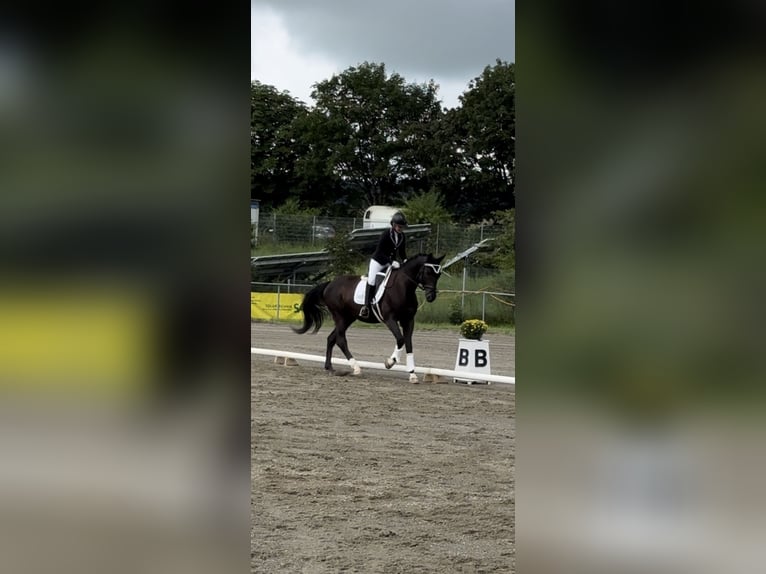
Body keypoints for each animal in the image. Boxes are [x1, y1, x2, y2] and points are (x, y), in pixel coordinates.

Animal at [293, 253, 445, 383]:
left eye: (438, 275)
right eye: (428, 272)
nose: (431, 297)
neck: (403, 288)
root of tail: (329, 284)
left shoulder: (408, 320)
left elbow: (408, 344)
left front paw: (412, 374)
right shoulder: (390, 319)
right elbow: (400, 339)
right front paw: (390, 362)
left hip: (348, 318)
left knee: (331, 338)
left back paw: (329, 367)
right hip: (340, 316)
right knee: (341, 340)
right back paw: (356, 368)